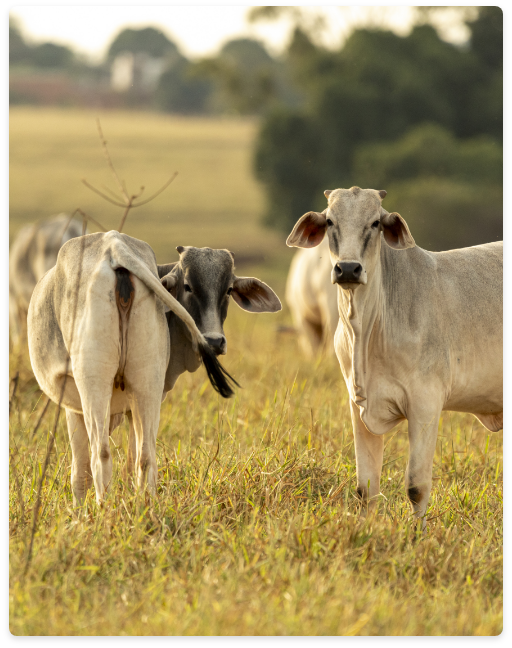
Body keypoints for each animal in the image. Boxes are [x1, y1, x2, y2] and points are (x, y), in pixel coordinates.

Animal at [28, 230, 281, 506]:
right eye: (188, 286)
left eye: (229, 290)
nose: (214, 341)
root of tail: (114, 246)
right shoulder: (134, 404)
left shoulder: (73, 403)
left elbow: (79, 472)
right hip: (147, 384)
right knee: (145, 456)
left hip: (94, 383)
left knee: (101, 456)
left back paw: (103, 511)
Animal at [286, 187, 503, 529]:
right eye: (330, 220)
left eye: (376, 222)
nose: (348, 269)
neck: (367, 329)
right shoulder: (356, 405)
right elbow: (366, 487)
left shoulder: (426, 404)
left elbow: (416, 485)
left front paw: (418, 534)